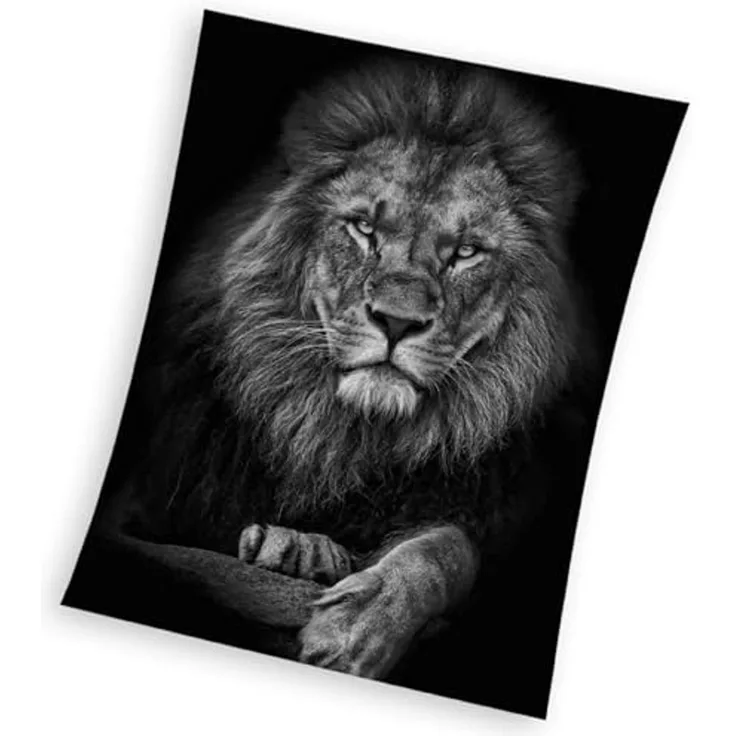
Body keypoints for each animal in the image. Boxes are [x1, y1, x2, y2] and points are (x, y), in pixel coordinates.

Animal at [65, 55, 589, 683]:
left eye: (465, 252)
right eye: (363, 229)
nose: (397, 321)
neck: (344, 438)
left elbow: (447, 549)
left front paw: (357, 627)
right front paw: (300, 554)